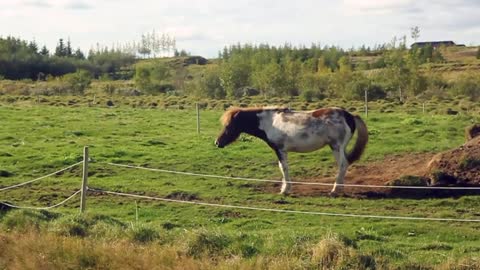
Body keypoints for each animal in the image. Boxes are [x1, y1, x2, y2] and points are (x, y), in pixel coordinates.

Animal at [216, 106, 370, 195]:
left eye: (229, 126)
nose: (217, 143)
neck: (269, 123)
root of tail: (350, 116)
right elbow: (282, 168)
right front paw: (285, 188)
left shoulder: (280, 150)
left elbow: (283, 168)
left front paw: (285, 190)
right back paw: (340, 188)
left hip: (336, 147)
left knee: (343, 164)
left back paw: (335, 190)